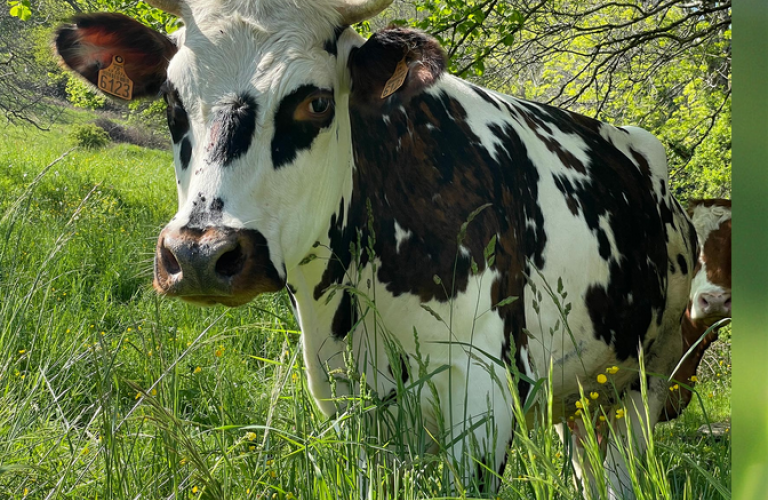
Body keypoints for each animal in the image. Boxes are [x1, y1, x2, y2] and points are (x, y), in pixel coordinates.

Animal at [55, 0, 696, 496]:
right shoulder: (347, 402)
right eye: (171, 100)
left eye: (315, 102)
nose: (198, 255)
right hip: (582, 396)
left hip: (644, 382)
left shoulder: (483, 399)